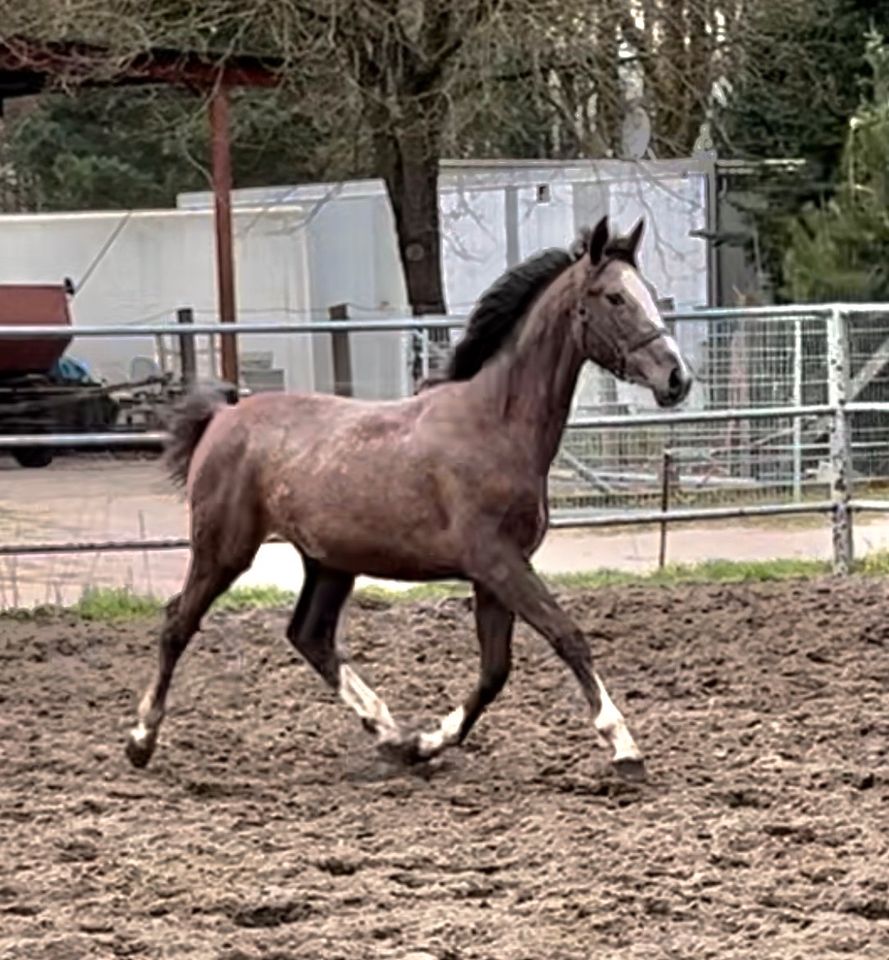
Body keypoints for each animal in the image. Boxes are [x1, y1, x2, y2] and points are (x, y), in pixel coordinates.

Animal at [125, 216, 692, 780]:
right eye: (615, 297)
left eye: (647, 291)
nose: (677, 377)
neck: (495, 425)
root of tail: (221, 418)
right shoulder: (498, 562)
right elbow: (566, 636)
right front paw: (624, 747)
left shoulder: (496, 574)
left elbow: (494, 670)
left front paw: (424, 743)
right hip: (224, 550)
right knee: (178, 623)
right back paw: (140, 740)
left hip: (330, 563)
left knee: (310, 636)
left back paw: (390, 734)